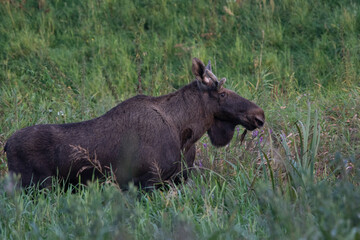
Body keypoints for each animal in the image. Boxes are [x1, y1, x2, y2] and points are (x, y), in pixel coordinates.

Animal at [3, 58, 264, 189]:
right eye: (222, 94)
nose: (259, 115)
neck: (185, 133)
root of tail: (5, 146)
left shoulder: (175, 181)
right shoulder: (146, 181)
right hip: (34, 186)